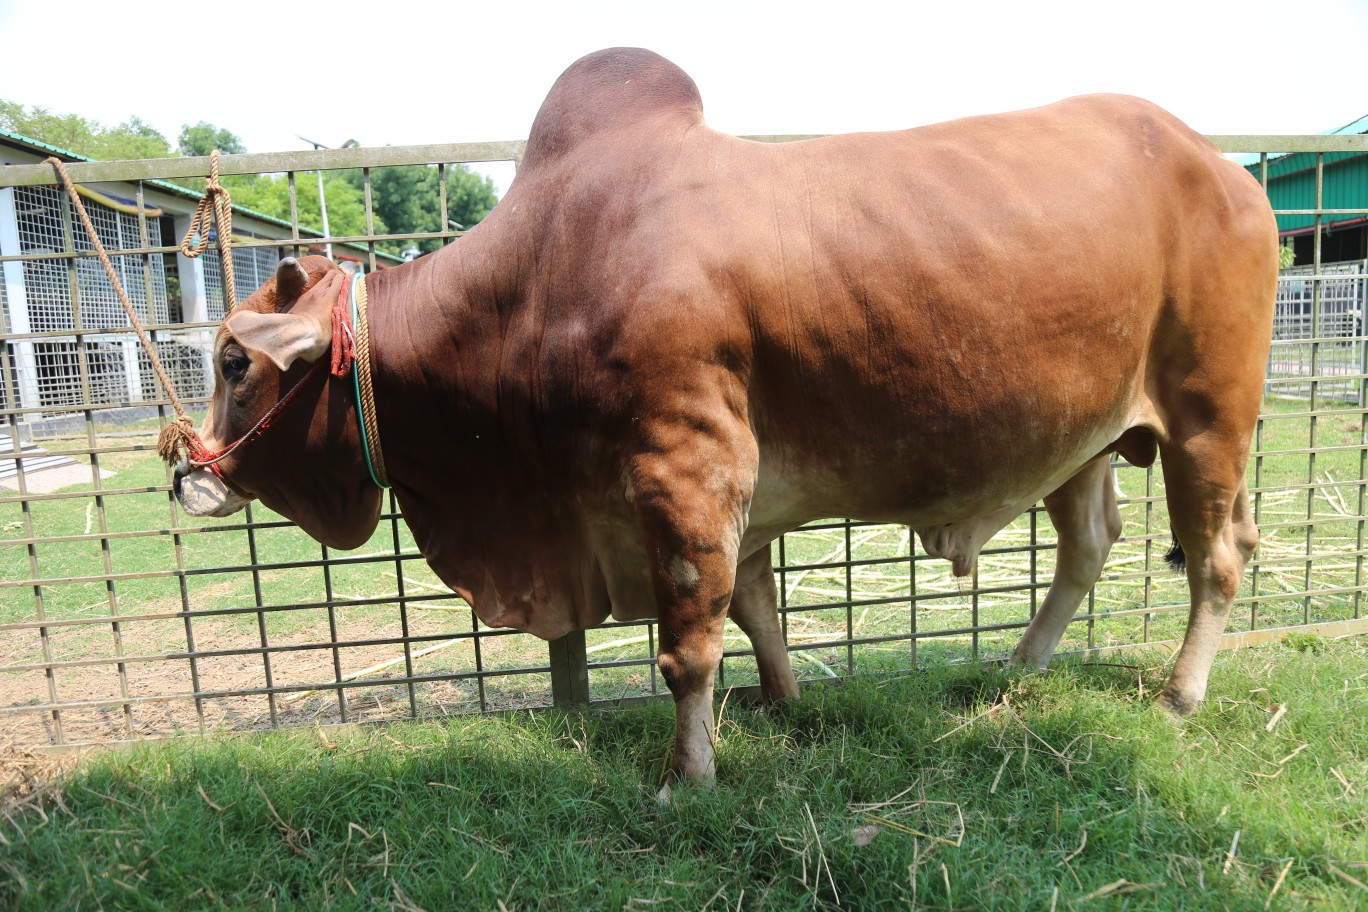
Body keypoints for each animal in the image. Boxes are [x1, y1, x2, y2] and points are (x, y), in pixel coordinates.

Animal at [174, 47, 1277, 793]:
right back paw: (1015, 669)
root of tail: (1229, 169)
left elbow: (688, 644)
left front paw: (687, 775)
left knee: (1216, 556)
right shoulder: (715, 493)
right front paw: (784, 704)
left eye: (233, 361)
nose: (186, 472)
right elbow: (754, 610)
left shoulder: (685, 469)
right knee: (1090, 545)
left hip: (1208, 418)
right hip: (1081, 437)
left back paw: (1179, 694)